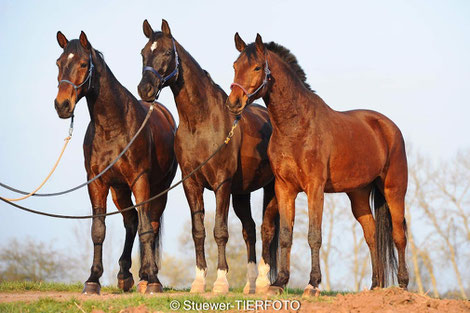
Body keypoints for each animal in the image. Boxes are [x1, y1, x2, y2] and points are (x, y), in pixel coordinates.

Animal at [51, 31, 176, 292]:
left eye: (83, 64)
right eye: (58, 63)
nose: (62, 105)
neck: (113, 127)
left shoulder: (140, 180)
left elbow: (146, 229)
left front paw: (154, 280)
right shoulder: (97, 182)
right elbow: (98, 230)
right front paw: (92, 280)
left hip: (160, 188)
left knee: (150, 223)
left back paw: (148, 275)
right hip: (120, 190)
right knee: (131, 222)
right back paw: (126, 274)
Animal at [137, 19, 280, 292]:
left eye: (167, 52)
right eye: (142, 53)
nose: (145, 89)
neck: (201, 123)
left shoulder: (221, 184)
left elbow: (220, 231)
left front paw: (221, 282)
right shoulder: (192, 184)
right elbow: (199, 231)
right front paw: (199, 281)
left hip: (271, 188)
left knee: (267, 228)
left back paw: (264, 281)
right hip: (242, 193)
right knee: (249, 229)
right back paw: (249, 284)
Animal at [227, 33, 408, 294]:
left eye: (257, 67)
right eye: (235, 66)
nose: (233, 103)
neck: (296, 126)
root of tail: (388, 127)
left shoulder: (315, 188)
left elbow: (314, 235)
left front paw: (312, 283)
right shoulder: (284, 188)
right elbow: (286, 235)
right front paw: (279, 282)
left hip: (394, 190)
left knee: (399, 234)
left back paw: (402, 285)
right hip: (359, 195)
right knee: (372, 234)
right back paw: (375, 285)